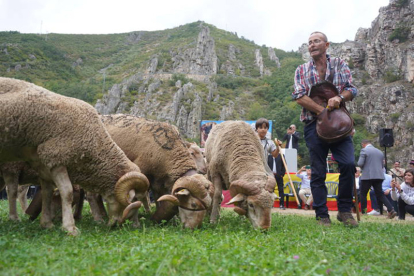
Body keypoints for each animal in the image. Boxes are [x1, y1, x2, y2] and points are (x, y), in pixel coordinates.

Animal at [0, 77, 150, 235]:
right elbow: (67, 193)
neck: (94, 141)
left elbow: (47, 193)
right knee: (13, 191)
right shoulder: (56, 157)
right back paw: (14, 217)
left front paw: (47, 224)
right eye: (132, 200)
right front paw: (70, 228)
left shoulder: (42, 163)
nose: (117, 225)